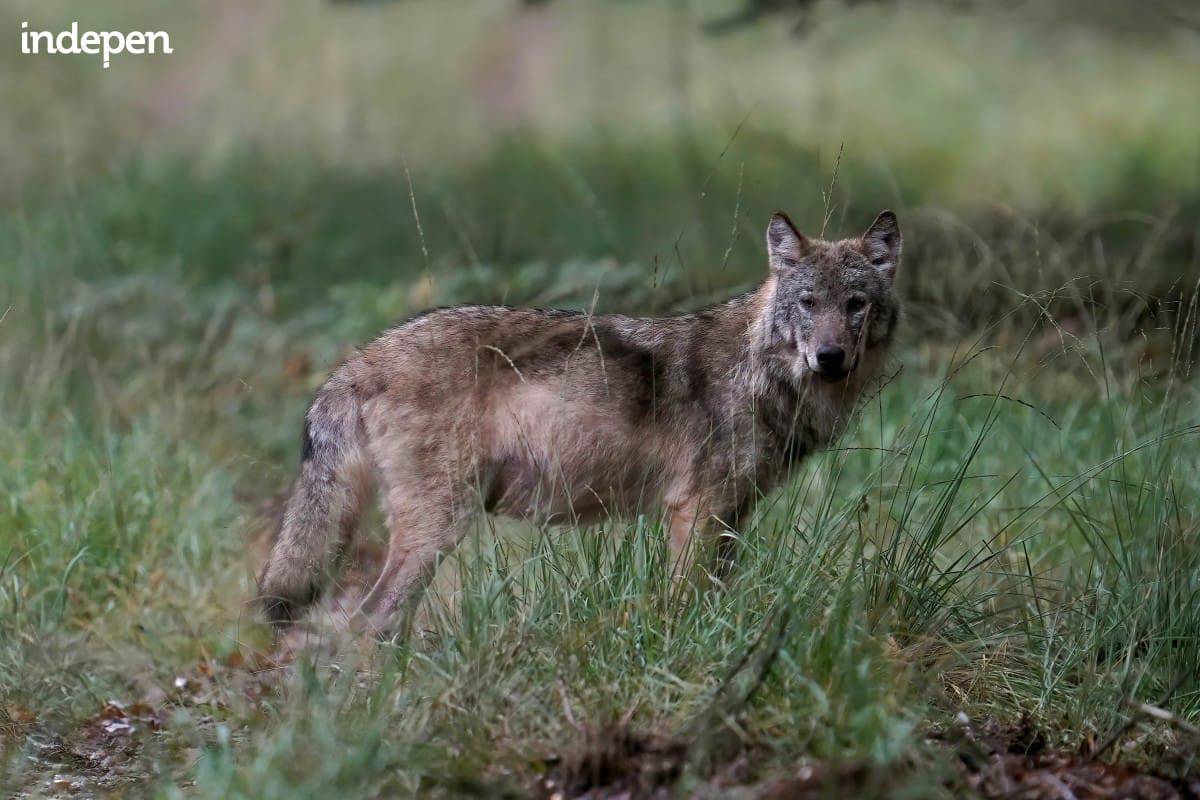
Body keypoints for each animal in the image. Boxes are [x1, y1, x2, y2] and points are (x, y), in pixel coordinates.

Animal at [260, 209, 902, 633]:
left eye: (855, 305)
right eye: (808, 304)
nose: (830, 358)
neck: (760, 372)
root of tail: (361, 358)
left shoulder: (732, 516)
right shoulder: (695, 511)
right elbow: (683, 605)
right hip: (439, 527)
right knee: (369, 621)